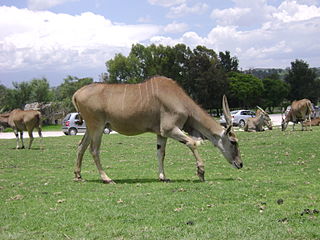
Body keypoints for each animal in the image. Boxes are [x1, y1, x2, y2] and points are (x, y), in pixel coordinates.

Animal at [72, 76, 242, 184]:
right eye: (233, 141)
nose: (240, 164)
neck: (181, 100)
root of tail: (76, 94)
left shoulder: (161, 134)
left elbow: (160, 153)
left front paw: (163, 177)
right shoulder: (169, 129)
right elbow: (192, 143)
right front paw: (201, 172)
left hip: (90, 128)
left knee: (81, 146)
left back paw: (78, 176)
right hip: (97, 126)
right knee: (94, 150)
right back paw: (106, 178)